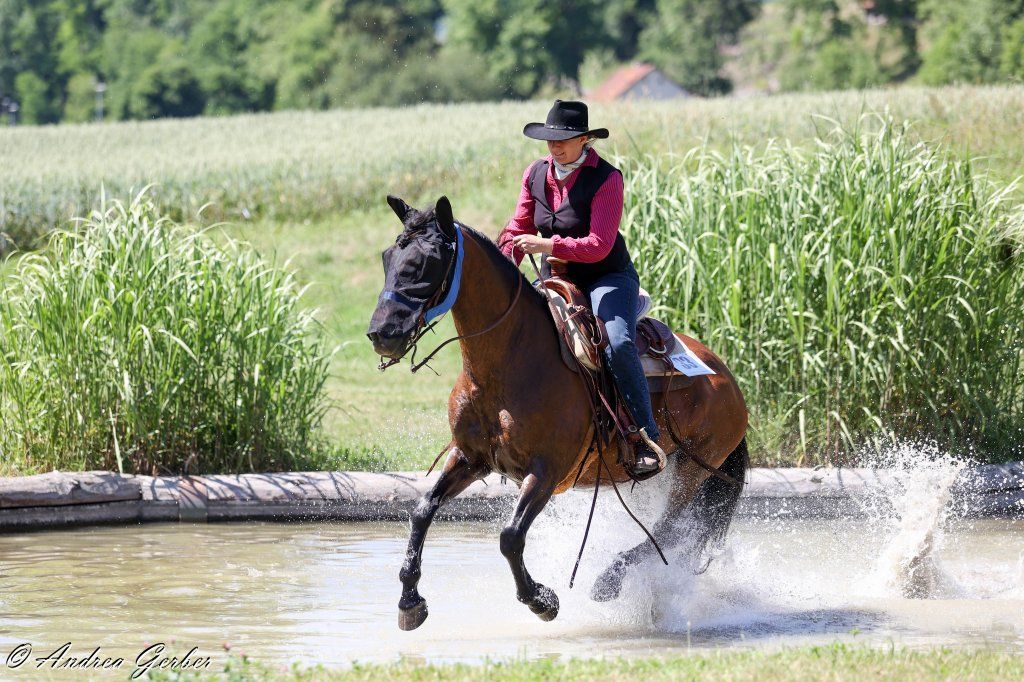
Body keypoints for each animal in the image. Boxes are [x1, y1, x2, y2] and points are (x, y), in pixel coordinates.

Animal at [367, 195, 749, 631]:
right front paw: (409, 601)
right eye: (388, 256)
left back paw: (608, 582)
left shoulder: (547, 471)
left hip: (694, 468)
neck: (509, 362)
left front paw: (541, 599)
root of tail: (725, 376)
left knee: (668, 530)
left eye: (426, 262)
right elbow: (422, 511)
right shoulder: (470, 458)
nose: (381, 334)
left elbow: (510, 536)